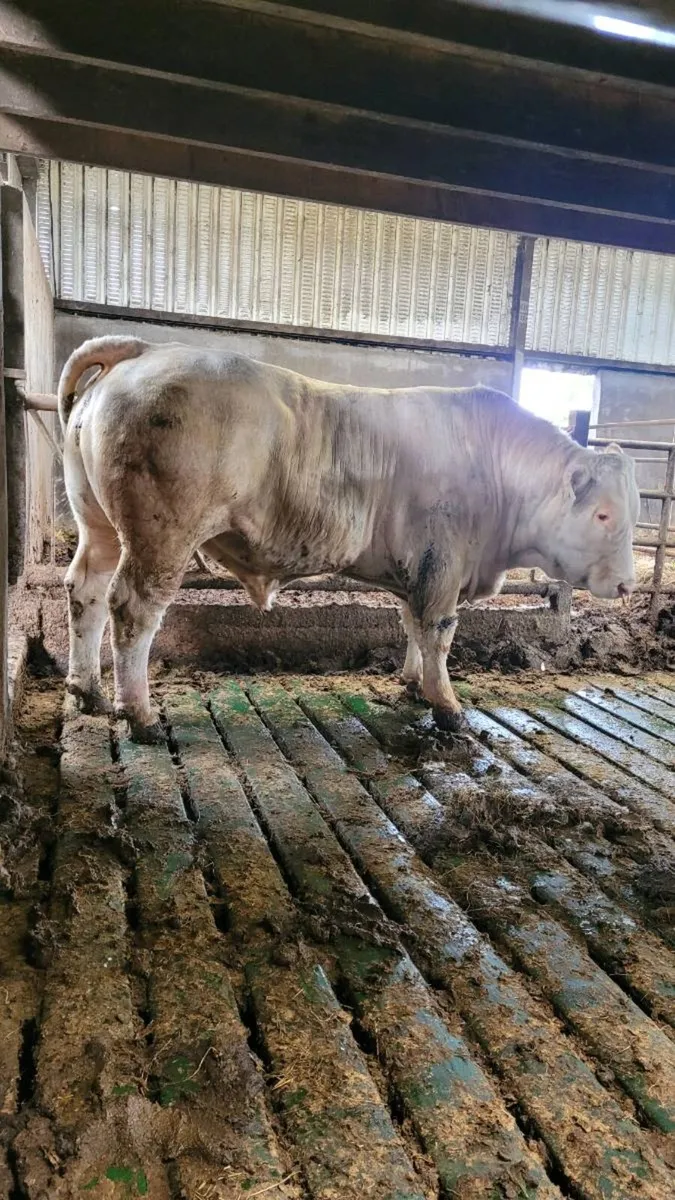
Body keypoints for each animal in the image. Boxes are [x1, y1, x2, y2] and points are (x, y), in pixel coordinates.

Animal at [57, 336, 639, 743]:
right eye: (604, 514)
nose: (628, 586)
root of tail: (148, 349)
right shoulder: (443, 566)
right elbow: (439, 632)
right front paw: (448, 707)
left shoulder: (420, 571)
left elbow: (413, 626)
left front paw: (413, 683)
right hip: (161, 536)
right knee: (133, 610)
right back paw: (139, 714)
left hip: (99, 525)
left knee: (85, 591)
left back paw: (87, 690)